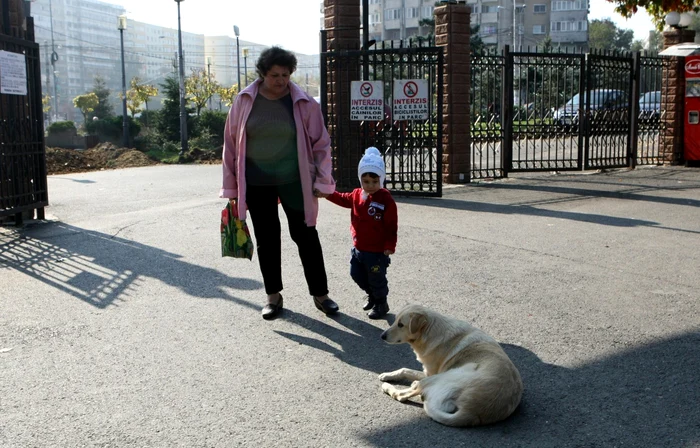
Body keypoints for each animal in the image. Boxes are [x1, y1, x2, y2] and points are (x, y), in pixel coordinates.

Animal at [380, 304, 524, 428]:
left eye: (401, 325)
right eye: (395, 321)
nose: (382, 336)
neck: (431, 332)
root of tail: (471, 413)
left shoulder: (430, 373)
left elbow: (406, 371)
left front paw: (387, 377)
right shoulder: (427, 372)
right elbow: (404, 370)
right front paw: (387, 374)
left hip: (441, 376)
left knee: (403, 395)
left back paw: (389, 387)